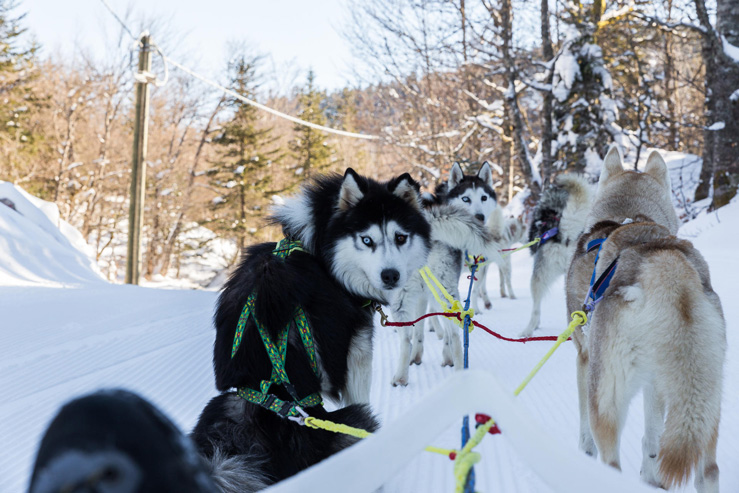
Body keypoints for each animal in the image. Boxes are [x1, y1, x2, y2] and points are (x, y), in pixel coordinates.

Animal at [192, 168, 434, 488]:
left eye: (401, 237)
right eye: (366, 240)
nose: (390, 275)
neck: (319, 250)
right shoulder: (357, 359)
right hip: (355, 421)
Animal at [388, 163, 498, 386]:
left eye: (483, 197)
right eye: (466, 198)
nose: (479, 217)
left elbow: (421, 326)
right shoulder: (424, 293)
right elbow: (421, 327)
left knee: (414, 337)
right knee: (449, 333)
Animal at [568, 147, 724, 492]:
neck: (630, 217)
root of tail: (664, 264)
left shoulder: (584, 356)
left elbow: (583, 427)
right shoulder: (655, 382)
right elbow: (652, 438)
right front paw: (651, 473)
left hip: (607, 392)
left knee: (610, 461)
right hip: (705, 398)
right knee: (706, 468)